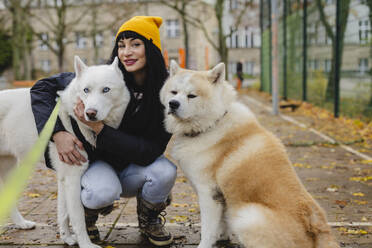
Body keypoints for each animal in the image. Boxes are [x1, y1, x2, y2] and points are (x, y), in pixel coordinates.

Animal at [0, 56, 129, 248]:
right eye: (86, 90)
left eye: (106, 89)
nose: (90, 114)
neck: (72, 118)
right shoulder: (72, 178)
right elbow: (77, 218)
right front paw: (85, 244)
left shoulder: (64, 178)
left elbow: (64, 214)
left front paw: (66, 238)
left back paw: (22, 224)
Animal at [160, 60, 338, 248]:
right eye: (174, 92)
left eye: (192, 95)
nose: (173, 104)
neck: (213, 123)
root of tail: (317, 233)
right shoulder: (221, 197)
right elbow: (221, 224)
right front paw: (223, 238)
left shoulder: (208, 194)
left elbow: (208, 229)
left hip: (246, 216)